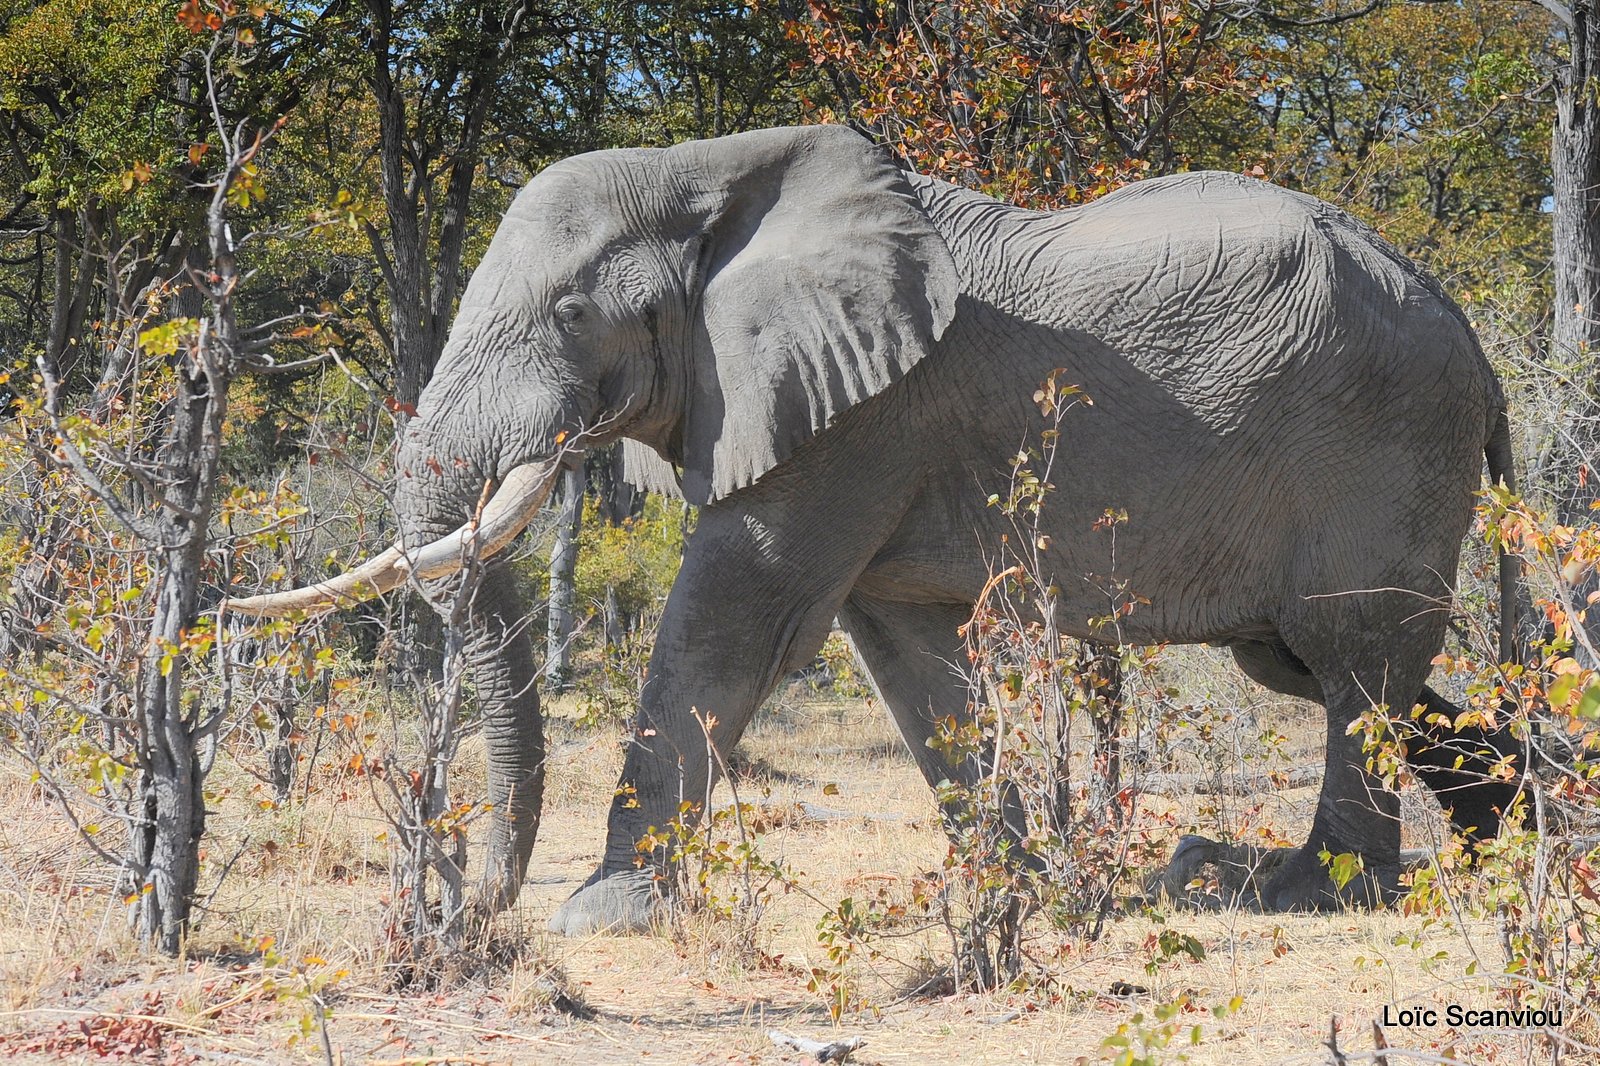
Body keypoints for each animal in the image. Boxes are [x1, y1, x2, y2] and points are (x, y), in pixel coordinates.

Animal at [222, 124, 1510, 928]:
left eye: (571, 310)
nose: (465, 901)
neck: (704, 169)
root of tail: (1462, 323)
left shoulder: (860, 419)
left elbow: (737, 620)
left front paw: (603, 913)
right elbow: (903, 655)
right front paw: (1014, 889)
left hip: (1381, 442)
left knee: (1351, 656)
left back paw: (1301, 891)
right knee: (1318, 663)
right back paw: (1503, 822)